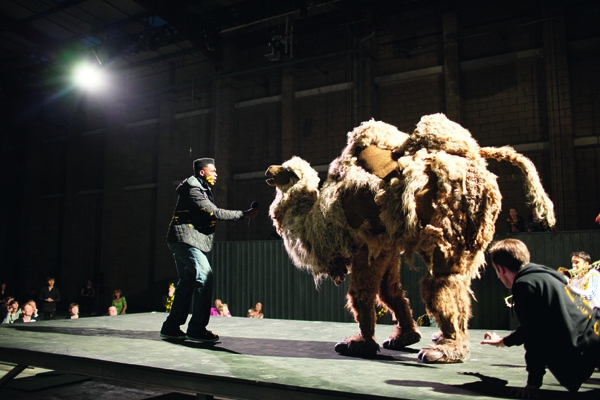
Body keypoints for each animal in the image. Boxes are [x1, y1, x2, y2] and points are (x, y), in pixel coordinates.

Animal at [266, 113, 555, 362]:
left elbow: (362, 293)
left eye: (286, 171)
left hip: (452, 230)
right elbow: (389, 291)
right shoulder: (386, 246)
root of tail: (477, 160)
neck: (318, 216)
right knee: (456, 284)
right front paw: (406, 336)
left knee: (441, 282)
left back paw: (446, 351)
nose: (269, 169)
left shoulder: (366, 244)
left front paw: (361, 344)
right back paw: (443, 339)